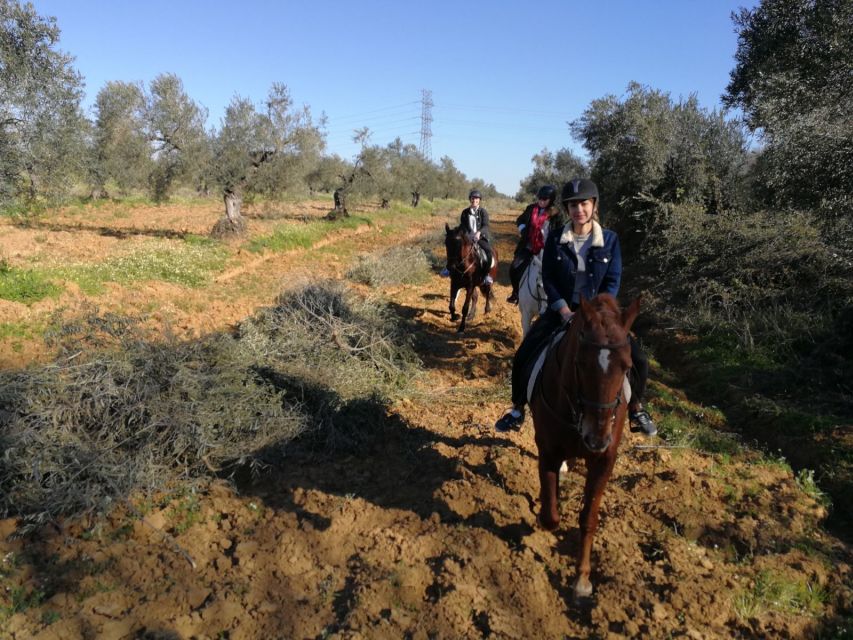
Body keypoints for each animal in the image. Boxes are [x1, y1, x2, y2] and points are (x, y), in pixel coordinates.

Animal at [524, 294, 640, 600]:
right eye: (581, 363)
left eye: (627, 366)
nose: (596, 438)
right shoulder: (548, 450)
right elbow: (550, 514)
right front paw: (543, 514)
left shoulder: (603, 461)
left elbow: (589, 518)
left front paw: (582, 579)